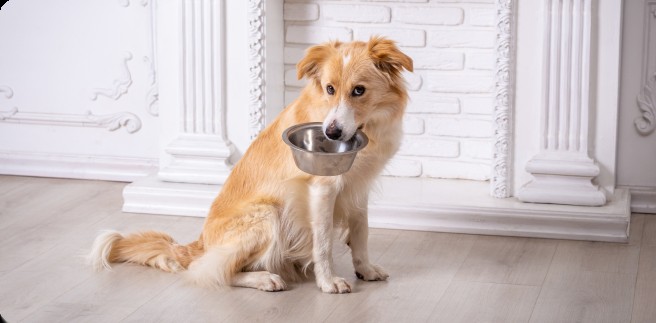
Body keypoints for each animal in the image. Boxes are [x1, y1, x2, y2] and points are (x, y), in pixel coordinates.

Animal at [89, 36, 412, 294]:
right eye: (330, 89)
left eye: (359, 90)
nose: (331, 133)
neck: (367, 129)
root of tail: (199, 244)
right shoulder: (322, 188)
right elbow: (322, 243)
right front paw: (328, 281)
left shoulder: (359, 186)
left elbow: (361, 233)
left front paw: (365, 269)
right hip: (268, 214)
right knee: (211, 269)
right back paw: (264, 278)